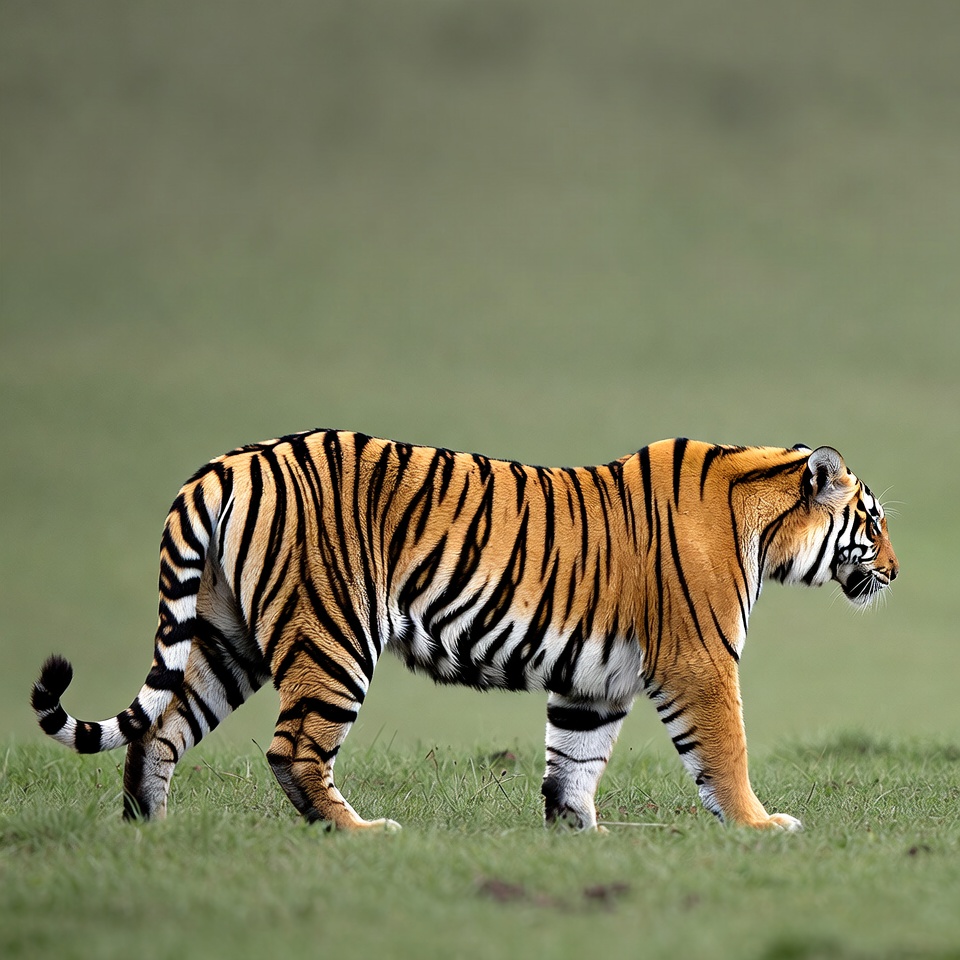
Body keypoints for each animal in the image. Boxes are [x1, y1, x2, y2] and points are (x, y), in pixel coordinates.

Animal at [32, 431, 898, 832]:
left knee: (159, 730)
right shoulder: (700, 661)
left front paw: (580, 834)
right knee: (293, 748)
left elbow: (574, 761)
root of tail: (230, 462)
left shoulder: (594, 680)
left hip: (222, 636)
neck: (761, 518)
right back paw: (361, 832)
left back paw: (151, 831)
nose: (896, 569)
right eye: (874, 520)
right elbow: (725, 750)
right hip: (331, 634)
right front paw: (761, 824)